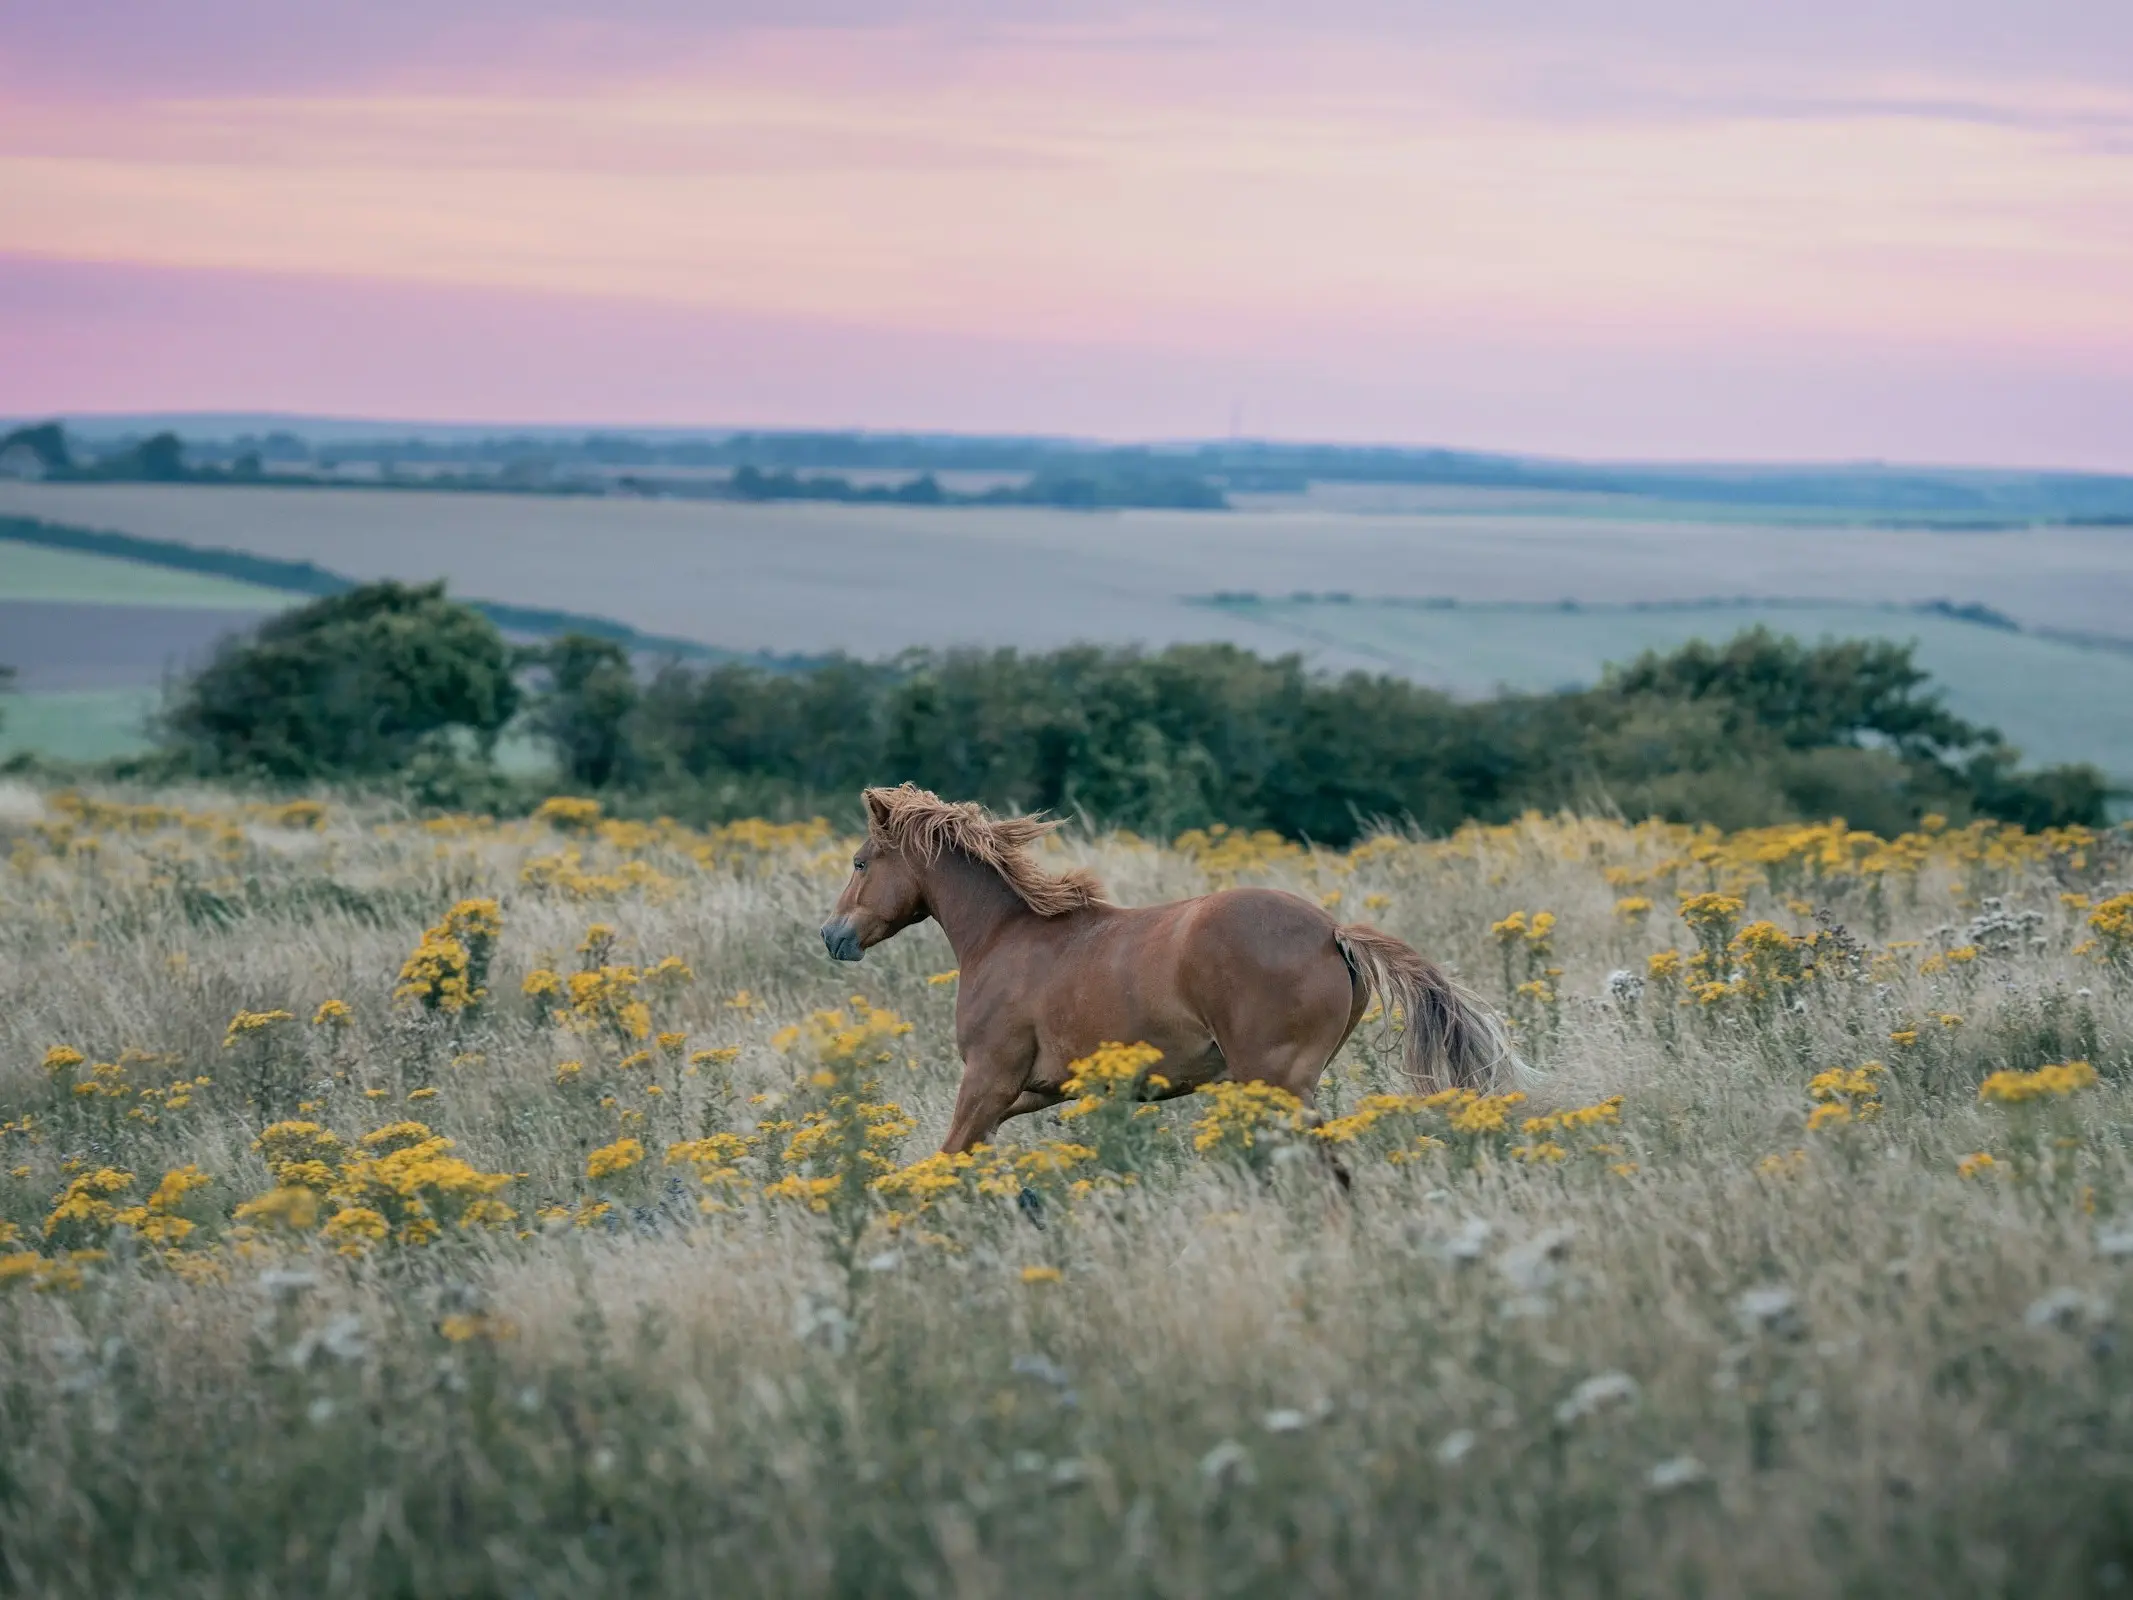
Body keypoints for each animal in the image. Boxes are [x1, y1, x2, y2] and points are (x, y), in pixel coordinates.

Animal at [810, 785, 1518, 1152]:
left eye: (861, 861)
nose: (831, 935)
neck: (1005, 937)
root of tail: (1332, 933)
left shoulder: (988, 1078)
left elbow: (952, 1154)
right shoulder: (1036, 1089)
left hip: (1276, 1081)